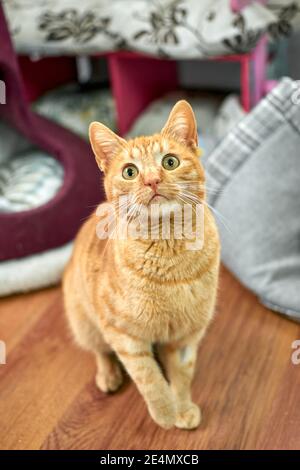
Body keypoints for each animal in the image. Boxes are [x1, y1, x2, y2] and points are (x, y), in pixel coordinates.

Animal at [63, 100, 219, 430]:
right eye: (130, 172)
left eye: (170, 162)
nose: (152, 180)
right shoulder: (123, 334)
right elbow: (149, 378)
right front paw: (165, 413)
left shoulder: (185, 336)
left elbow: (182, 376)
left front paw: (182, 407)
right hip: (85, 322)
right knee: (99, 351)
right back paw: (108, 375)